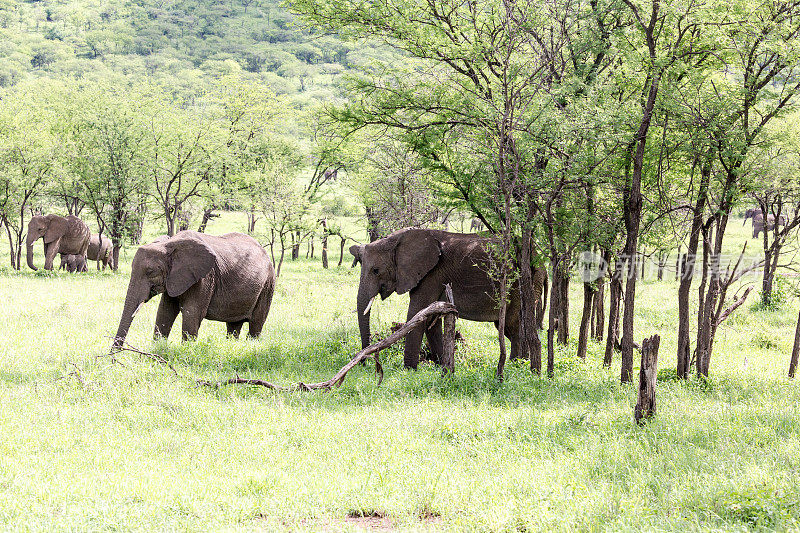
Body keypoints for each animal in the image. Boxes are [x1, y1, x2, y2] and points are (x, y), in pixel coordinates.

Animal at [111, 230, 276, 350]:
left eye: (150, 272)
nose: (113, 360)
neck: (170, 244)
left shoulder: (204, 278)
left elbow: (192, 313)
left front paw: (186, 352)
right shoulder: (174, 279)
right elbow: (164, 312)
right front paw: (157, 349)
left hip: (268, 284)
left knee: (256, 324)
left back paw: (251, 346)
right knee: (233, 326)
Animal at [352, 227, 552, 368]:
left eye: (376, 270)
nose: (364, 363)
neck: (397, 239)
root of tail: (541, 261)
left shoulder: (432, 273)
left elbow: (417, 314)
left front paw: (409, 369)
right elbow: (429, 319)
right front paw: (441, 365)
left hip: (521, 283)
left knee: (513, 327)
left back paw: (516, 365)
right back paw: (522, 363)